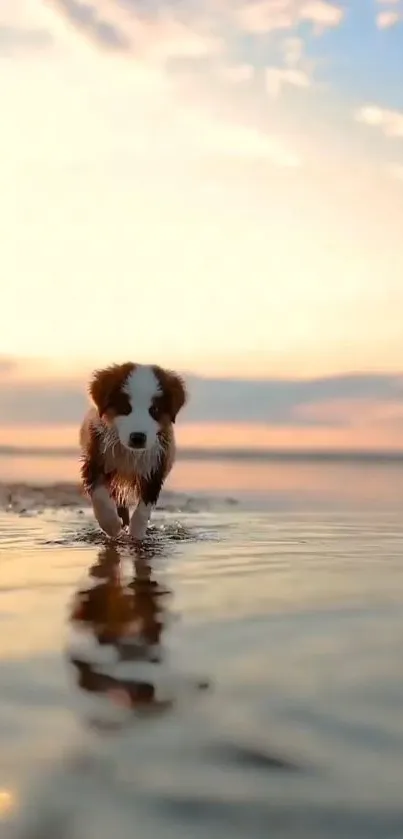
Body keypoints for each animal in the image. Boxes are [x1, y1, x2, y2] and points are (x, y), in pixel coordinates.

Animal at [79, 364, 188, 540]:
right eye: (125, 408)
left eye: (154, 409)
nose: (138, 437)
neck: (130, 453)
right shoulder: (95, 458)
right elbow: (100, 497)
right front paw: (111, 526)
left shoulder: (156, 465)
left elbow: (144, 507)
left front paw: (136, 534)